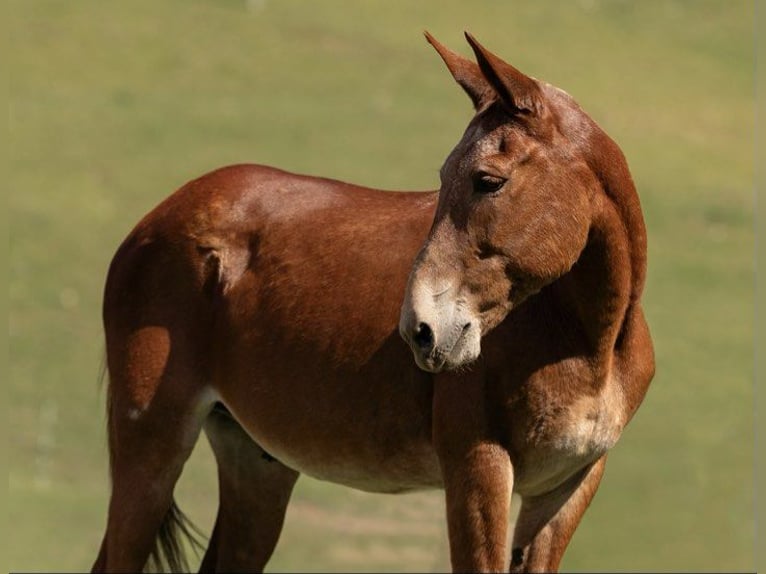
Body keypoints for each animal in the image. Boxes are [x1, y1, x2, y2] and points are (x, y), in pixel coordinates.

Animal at [91, 32, 654, 573]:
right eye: (443, 177)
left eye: (488, 181)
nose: (421, 330)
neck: (585, 342)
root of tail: (158, 219)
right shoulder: (478, 468)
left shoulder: (568, 485)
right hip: (151, 446)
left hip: (255, 463)